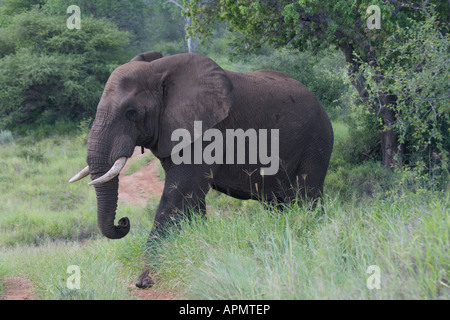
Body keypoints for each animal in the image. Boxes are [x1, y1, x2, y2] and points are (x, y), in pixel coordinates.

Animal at [68, 52, 332, 288]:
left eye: (131, 112)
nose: (123, 222)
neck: (159, 70)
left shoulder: (207, 131)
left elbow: (180, 192)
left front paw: (145, 280)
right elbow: (190, 197)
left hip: (316, 143)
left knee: (306, 197)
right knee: (278, 204)